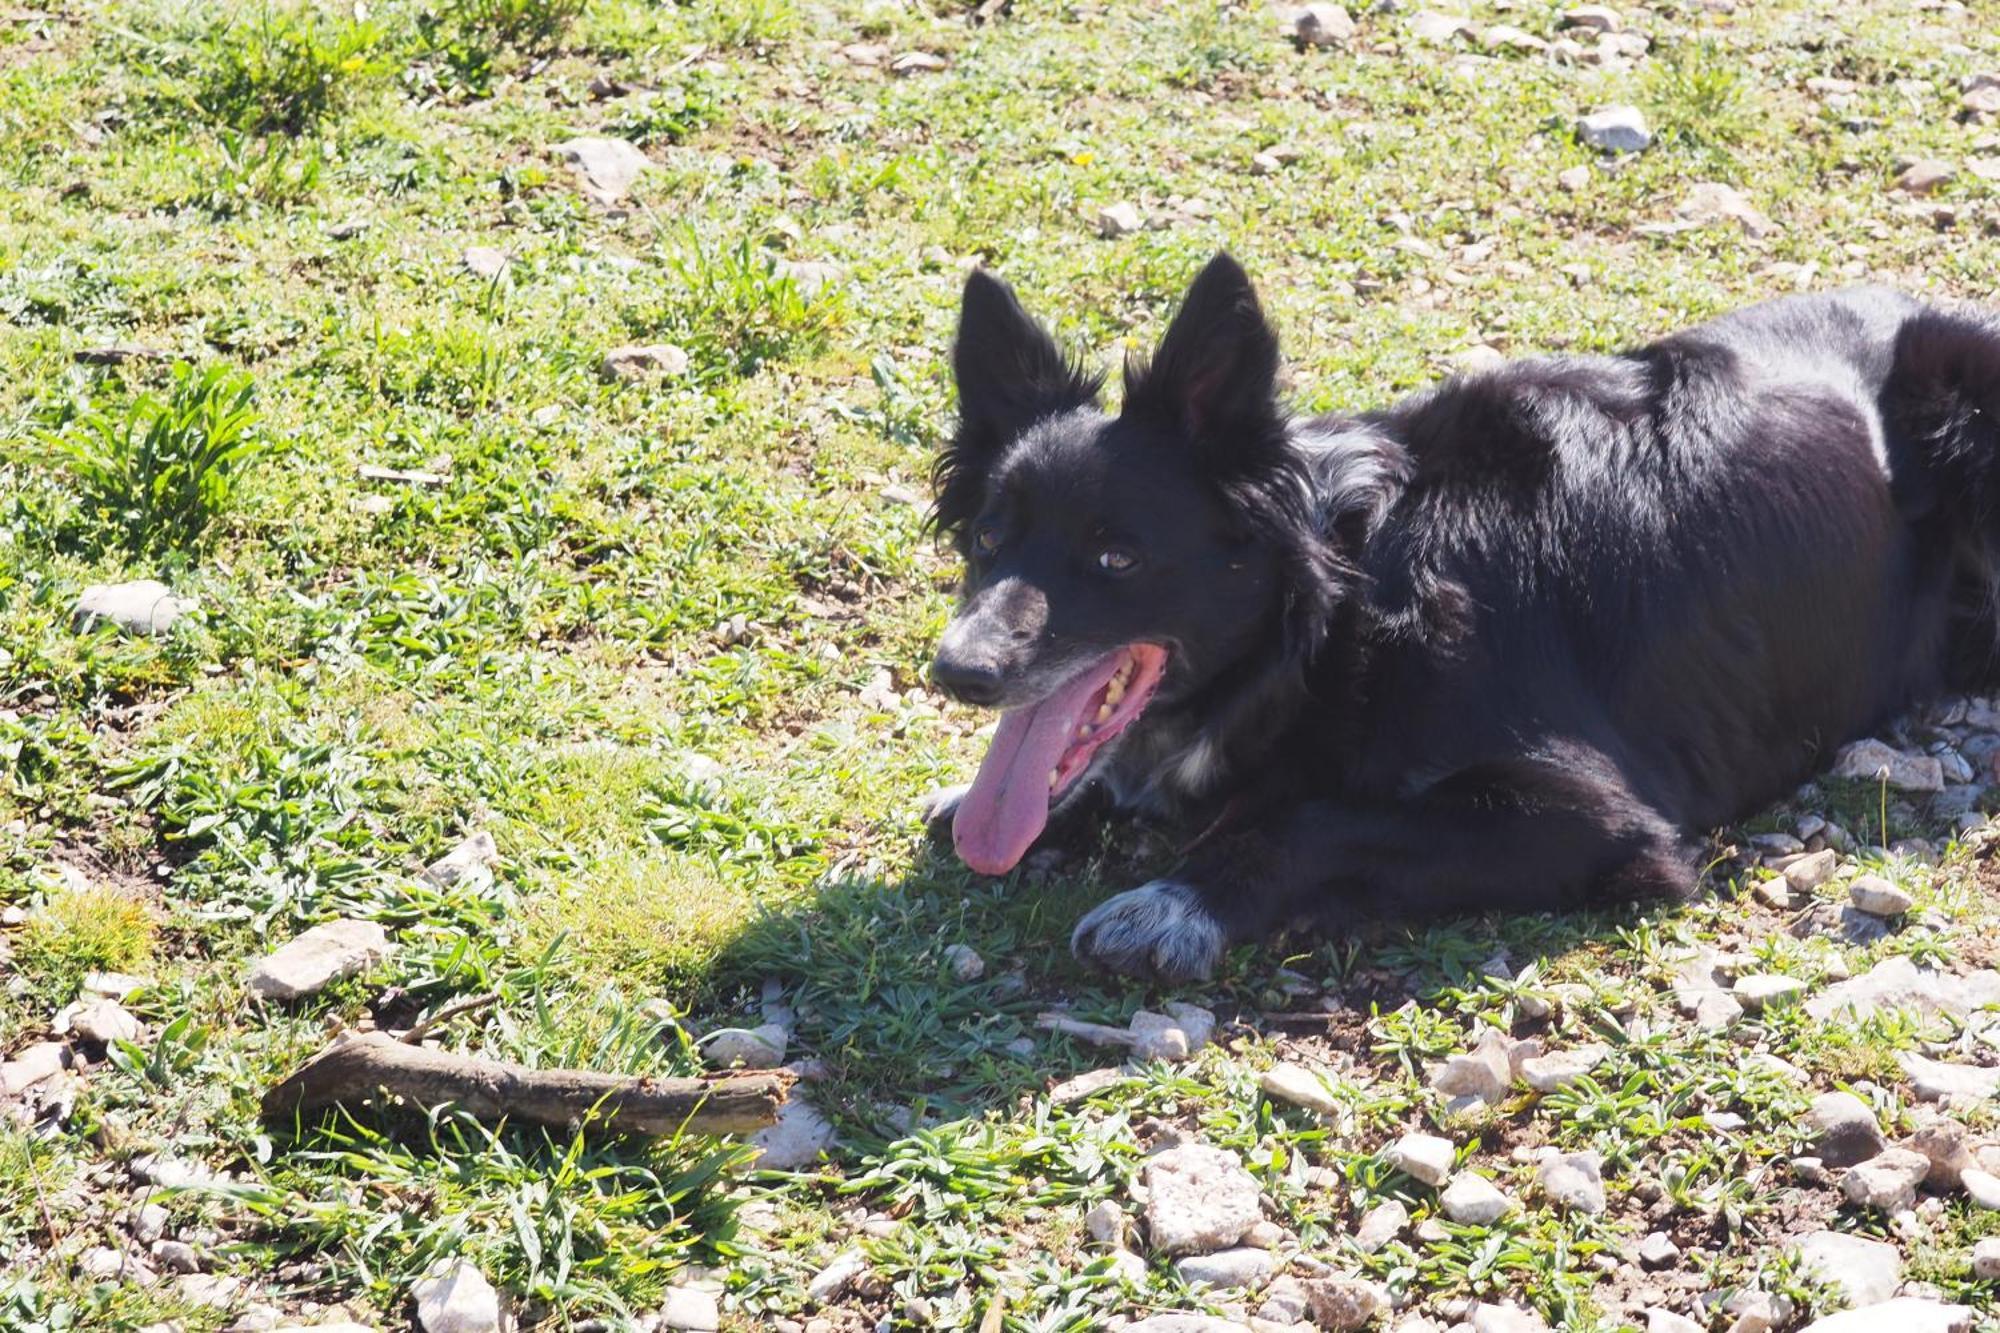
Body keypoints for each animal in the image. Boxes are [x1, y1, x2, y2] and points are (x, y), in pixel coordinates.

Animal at [924, 252, 2000, 976]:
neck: (1344, 602)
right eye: (987, 538)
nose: (958, 670)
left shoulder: (1604, 819)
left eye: (1117, 556)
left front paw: (1171, 903)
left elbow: (1314, 819)